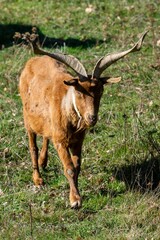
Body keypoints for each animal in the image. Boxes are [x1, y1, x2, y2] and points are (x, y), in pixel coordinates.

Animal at [19, 31, 148, 208]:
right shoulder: (61, 140)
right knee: (33, 146)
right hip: (27, 119)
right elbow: (69, 168)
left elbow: (77, 166)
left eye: (101, 91)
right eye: (79, 91)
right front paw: (75, 201)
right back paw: (38, 178)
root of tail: (32, 62)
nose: (91, 117)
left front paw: (76, 195)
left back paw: (43, 162)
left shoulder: (78, 140)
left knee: (45, 136)